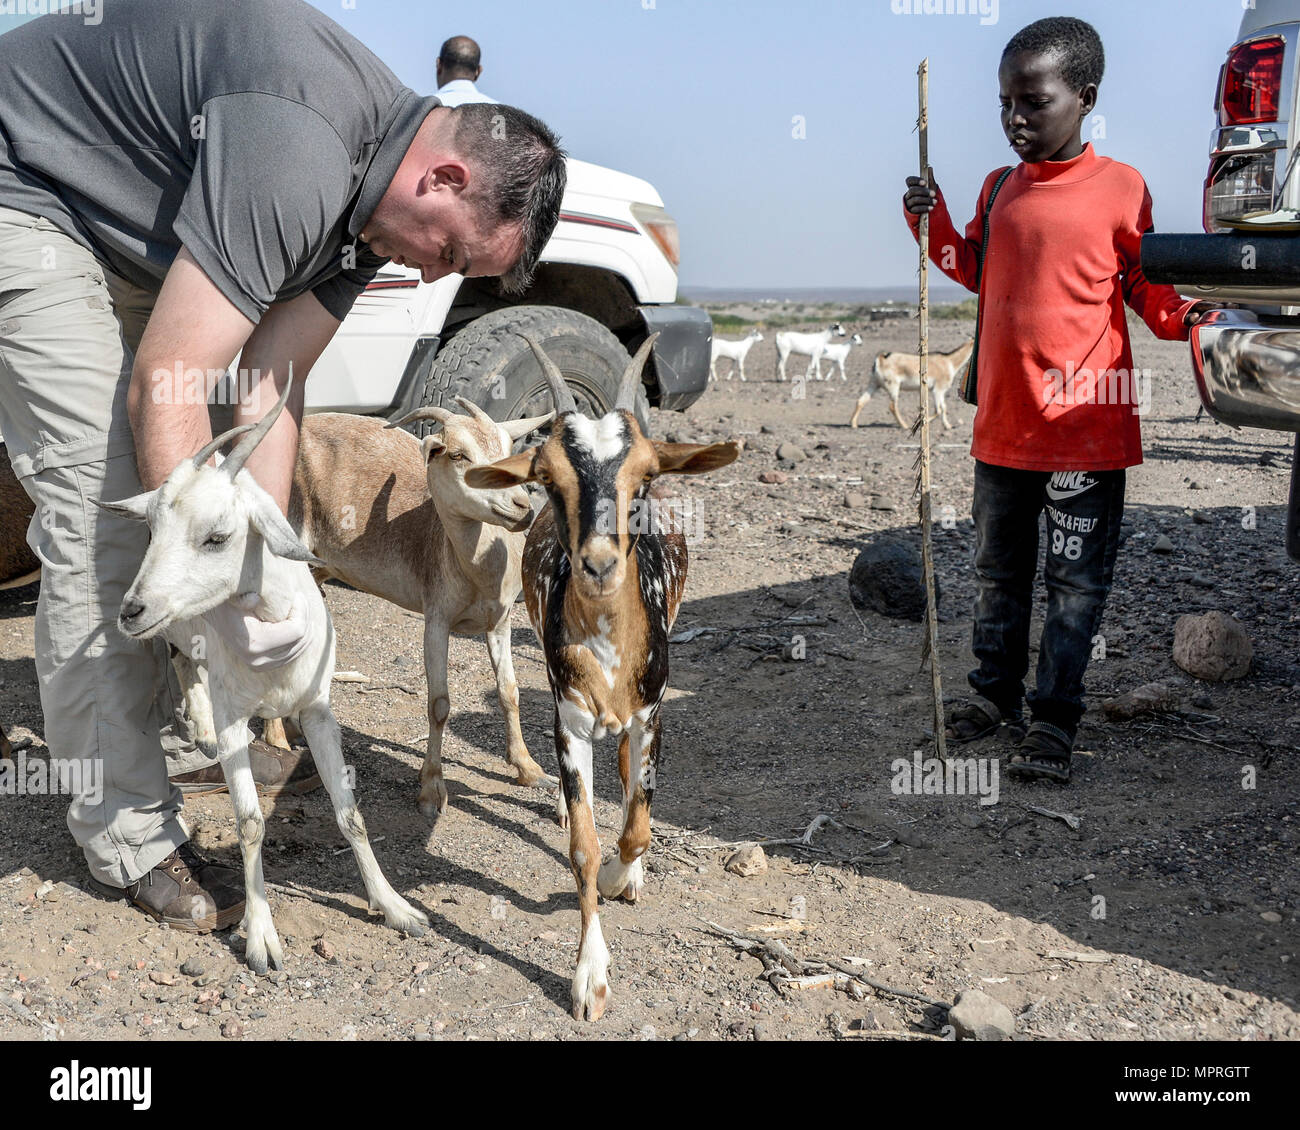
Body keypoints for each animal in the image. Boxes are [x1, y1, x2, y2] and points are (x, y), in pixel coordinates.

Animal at [102, 377, 426, 967]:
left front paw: (394, 906)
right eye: (155, 528)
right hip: (176, 631)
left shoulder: (318, 712)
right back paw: (202, 726)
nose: (131, 611)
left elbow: (350, 813)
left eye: (217, 536)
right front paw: (260, 937)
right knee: (182, 661)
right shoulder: (237, 718)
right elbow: (251, 824)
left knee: (189, 663)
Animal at [287, 400, 556, 816]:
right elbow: (439, 704)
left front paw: (529, 769)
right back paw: (277, 740)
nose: (522, 506)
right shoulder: (437, 618)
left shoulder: (500, 621)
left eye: (509, 449)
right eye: (458, 455)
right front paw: (431, 789)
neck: (475, 573)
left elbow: (509, 691)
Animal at [467, 330, 743, 1019]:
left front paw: (626, 876)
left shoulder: (652, 714)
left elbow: (639, 826)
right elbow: (584, 849)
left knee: (624, 775)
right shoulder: (568, 721)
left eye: (645, 473)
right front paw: (589, 975)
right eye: (546, 477)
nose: (597, 564)